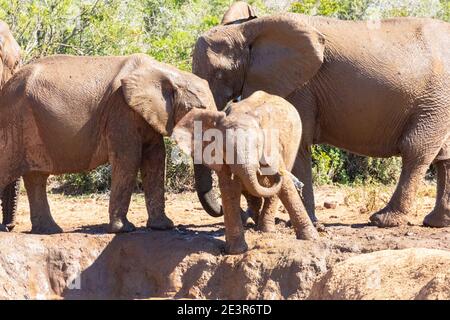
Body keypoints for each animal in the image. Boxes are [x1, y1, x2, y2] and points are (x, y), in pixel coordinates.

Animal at [0, 53, 218, 234]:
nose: (221, 210)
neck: (165, 71)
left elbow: (155, 158)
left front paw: (163, 227)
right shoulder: (121, 109)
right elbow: (129, 158)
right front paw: (124, 230)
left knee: (36, 176)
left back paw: (50, 230)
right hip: (15, 122)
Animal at [173, 90, 320, 255]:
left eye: (258, 146)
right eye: (225, 149)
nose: (276, 172)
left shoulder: (272, 145)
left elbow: (285, 186)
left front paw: (311, 239)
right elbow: (229, 187)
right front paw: (236, 251)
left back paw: (266, 230)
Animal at [191, 4, 450, 230]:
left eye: (219, 74)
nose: (222, 210)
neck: (248, 28)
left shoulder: (300, 86)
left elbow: (298, 143)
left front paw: (298, 222)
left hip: (434, 101)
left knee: (416, 150)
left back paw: (383, 220)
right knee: (443, 155)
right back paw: (437, 222)